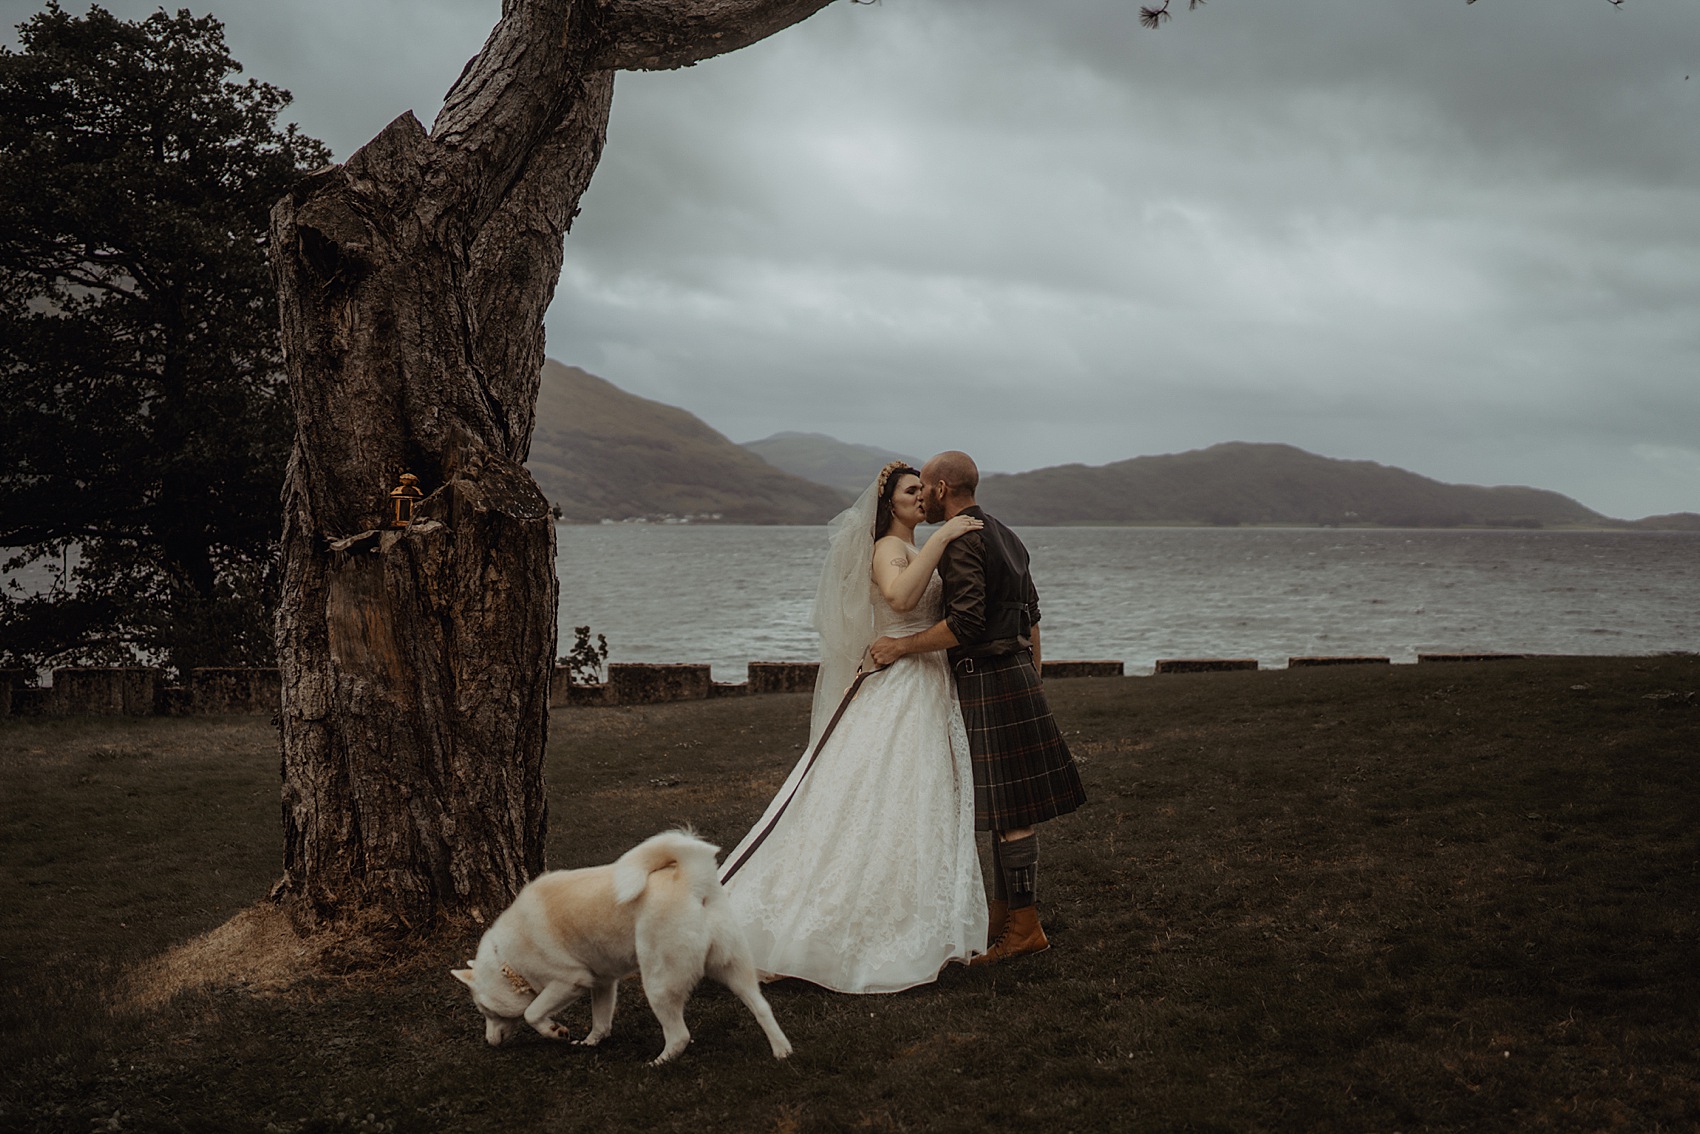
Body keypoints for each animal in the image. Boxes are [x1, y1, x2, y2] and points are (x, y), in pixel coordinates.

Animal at [452, 833, 795, 1067]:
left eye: (485, 1012)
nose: (489, 1042)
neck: (506, 958)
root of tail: (692, 879)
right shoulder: (602, 982)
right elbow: (601, 1021)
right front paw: (590, 1042)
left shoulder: (569, 982)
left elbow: (532, 1012)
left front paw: (555, 1031)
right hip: (735, 972)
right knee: (763, 1008)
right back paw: (782, 1051)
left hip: (658, 984)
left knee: (680, 1036)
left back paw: (659, 1063)